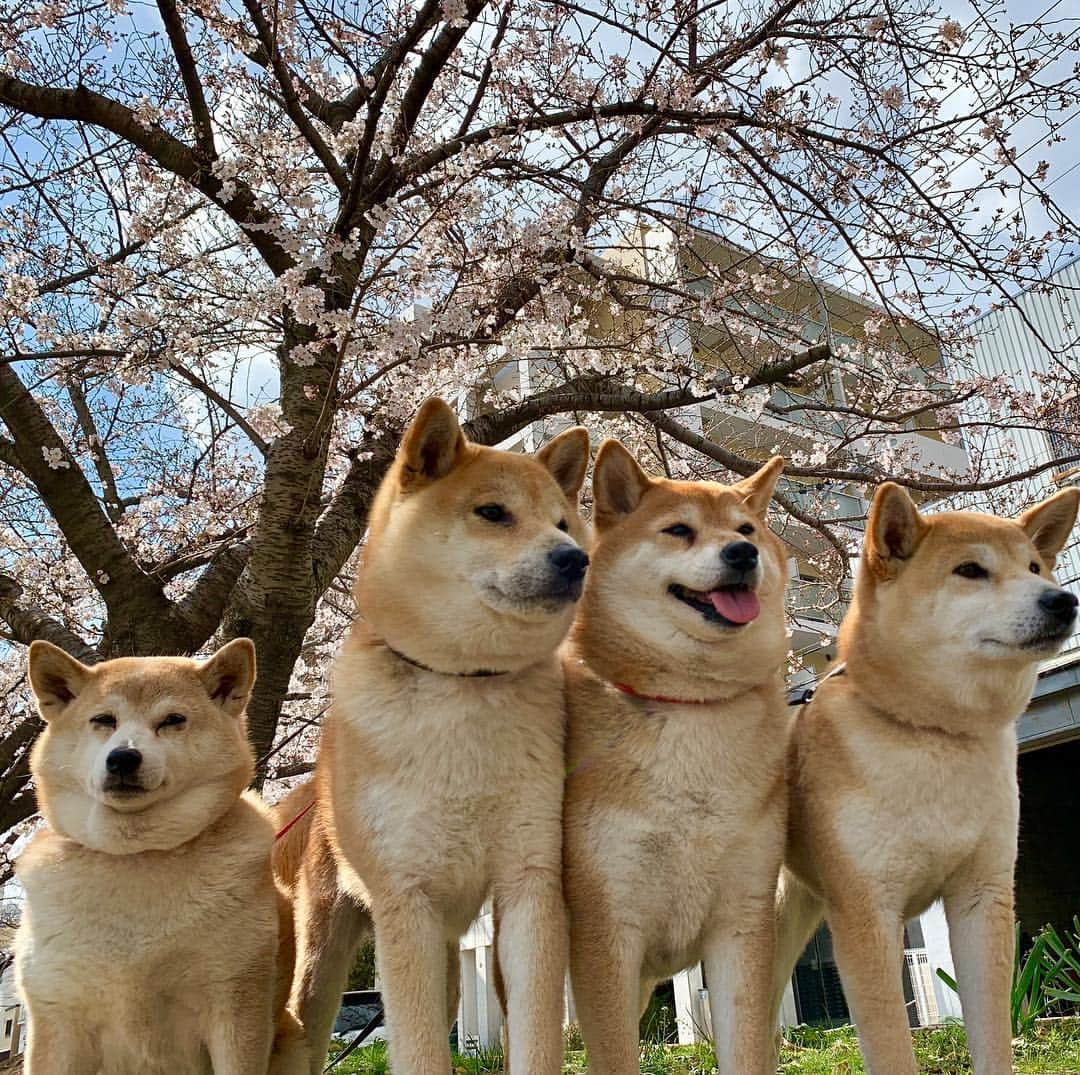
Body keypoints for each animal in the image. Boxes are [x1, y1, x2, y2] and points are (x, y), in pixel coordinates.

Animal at [15, 639, 308, 1075]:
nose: (123, 757)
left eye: (172, 720)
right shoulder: (58, 1015)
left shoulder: (235, 1007)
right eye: (103, 720)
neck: (138, 855)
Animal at [272, 399, 591, 1071]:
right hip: (322, 963)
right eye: (492, 513)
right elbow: (417, 1050)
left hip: (448, 962)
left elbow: (536, 1034)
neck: (465, 683)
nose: (575, 558)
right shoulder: (406, 901)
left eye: (564, 524)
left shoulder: (530, 885)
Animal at [561, 438, 790, 1075]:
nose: (742, 552)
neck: (690, 705)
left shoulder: (743, 921)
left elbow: (747, 1047)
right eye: (679, 531)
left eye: (746, 529)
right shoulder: (606, 927)